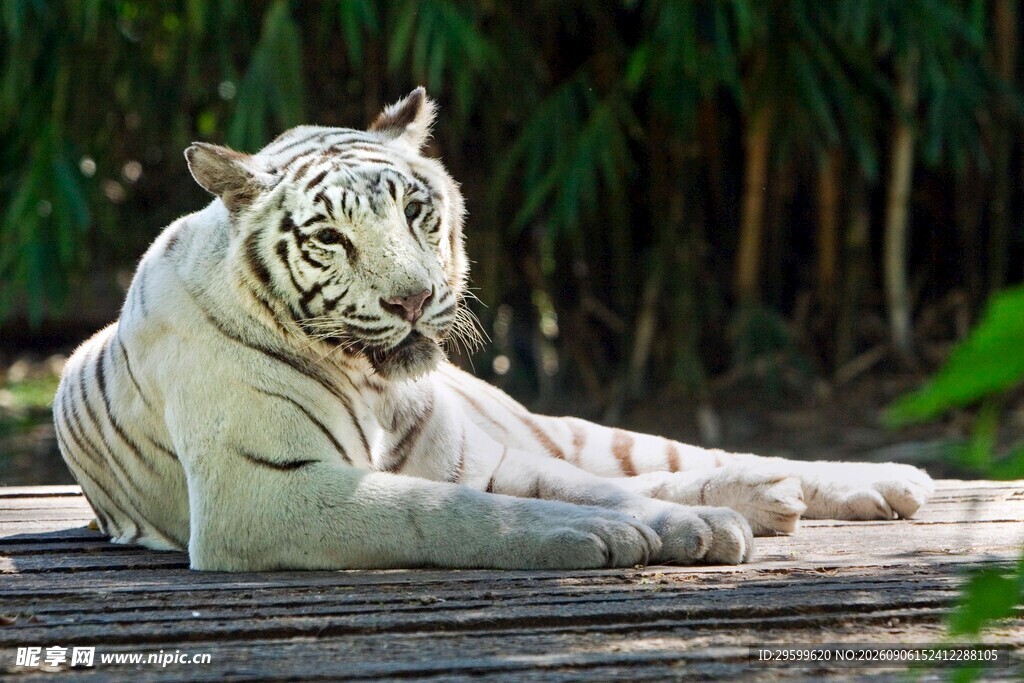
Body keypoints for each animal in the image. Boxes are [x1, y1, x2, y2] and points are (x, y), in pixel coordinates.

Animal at [53, 88, 935, 571]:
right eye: (331, 237)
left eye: (416, 210)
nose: (413, 299)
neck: (377, 388)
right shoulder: (265, 491)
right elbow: (451, 513)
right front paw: (620, 536)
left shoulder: (472, 458)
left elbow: (577, 489)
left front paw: (680, 526)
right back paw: (765, 502)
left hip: (548, 428)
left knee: (665, 458)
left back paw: (865, 482)